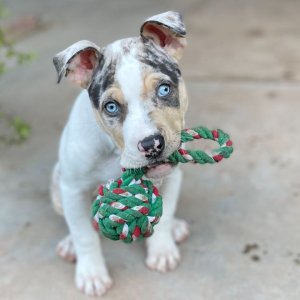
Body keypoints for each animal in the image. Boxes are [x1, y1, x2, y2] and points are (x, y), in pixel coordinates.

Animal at [50, 11, 189, 296]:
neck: (116, 153)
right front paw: (92, 275)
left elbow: (166, 213)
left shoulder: (171, 176)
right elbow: (83, 234)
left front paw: (162, 251)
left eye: (165, 89)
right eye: (111, 107)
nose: (152, 144)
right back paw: (70, 245)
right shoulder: (72, 189)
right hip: (57, 184)